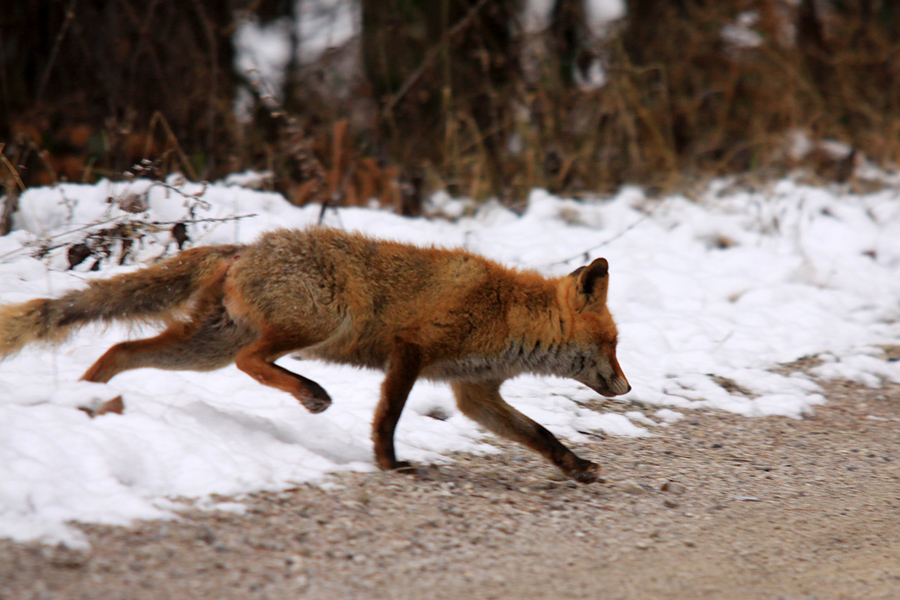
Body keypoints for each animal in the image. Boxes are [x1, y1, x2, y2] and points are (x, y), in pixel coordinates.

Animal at [0, 227, 632, 486]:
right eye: (612, 345)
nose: (627, 388)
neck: (506, 315)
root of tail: (244, 248)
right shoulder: (412, 350)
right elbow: (388, 417)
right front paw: (389, 464)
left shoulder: (474, 393)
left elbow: (541, 436)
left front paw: (577, 468)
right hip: (322, 319)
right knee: (252, 363)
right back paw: (310, 393)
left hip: (205, 347)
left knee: (120, 347)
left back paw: (84, 401)